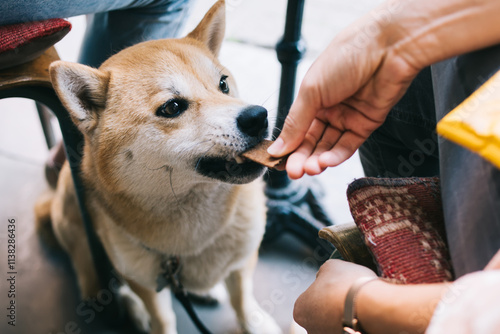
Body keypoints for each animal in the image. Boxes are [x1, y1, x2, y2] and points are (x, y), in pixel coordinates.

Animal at [36, 1, 282, 332]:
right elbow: (162, 317)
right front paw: (148, 314)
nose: (257, 117)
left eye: (223, 84)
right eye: (172, 107)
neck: (189, 242)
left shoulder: (244, 257)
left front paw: (256, 323)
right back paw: (132, 309)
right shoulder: (145, 278)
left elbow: (242, 298)